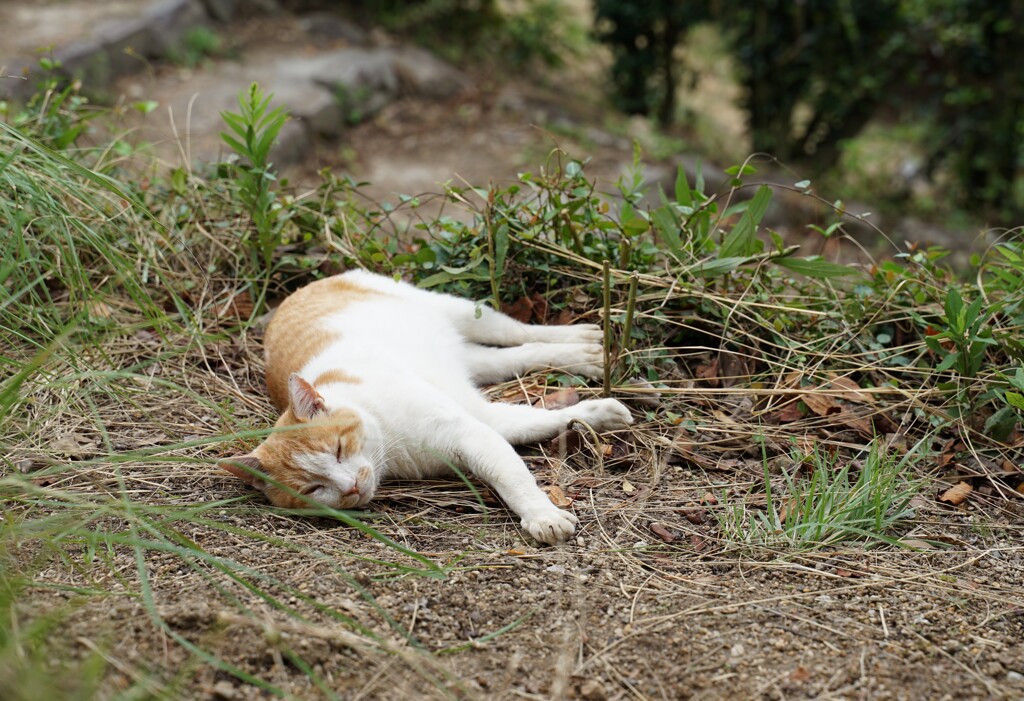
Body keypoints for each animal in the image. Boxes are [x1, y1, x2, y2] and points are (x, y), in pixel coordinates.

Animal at [218, 270, 630, 544]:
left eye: (337, 450)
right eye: (314, 489)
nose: (351, 487)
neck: (390, 449)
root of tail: (300, 289)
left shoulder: (470, 431)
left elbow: (512, 477)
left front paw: (542, 515)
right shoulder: (486, 421)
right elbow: (545, 420)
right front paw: (598, 415)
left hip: (466, 313)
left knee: (522, 331)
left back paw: (583, 338)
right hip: (474, 361)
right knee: (521, 354)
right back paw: (584, 355)